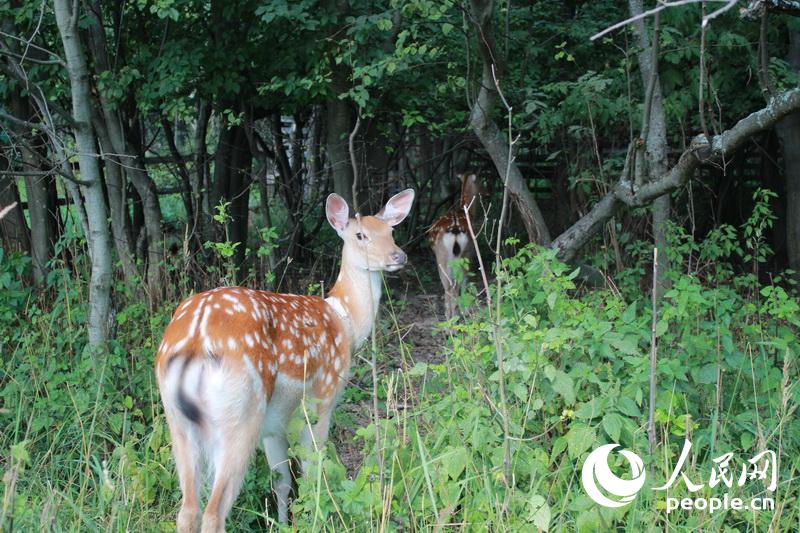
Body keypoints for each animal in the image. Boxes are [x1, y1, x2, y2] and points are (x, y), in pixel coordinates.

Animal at [154, 189, 416, 528]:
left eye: (391, 231)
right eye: (361, 235)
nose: (398, 256)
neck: (344, 322)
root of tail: (196, 341)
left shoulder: (275, 424)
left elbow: (282, 480)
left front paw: (283, 524)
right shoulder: (322, 399)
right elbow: (313, 472)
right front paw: (315, 520)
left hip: (178, 420)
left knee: (187, 509)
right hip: (240, 414)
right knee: (214, 511)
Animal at [424, 172, 482, 318]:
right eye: (479, 181)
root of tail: (455, 230)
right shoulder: (471, 253)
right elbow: (465, 279)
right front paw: (465, 310)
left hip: (445, 256)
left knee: (450, 285)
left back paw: (451, 317)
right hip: (458, 255)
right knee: (453, 284)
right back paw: (453, 316)